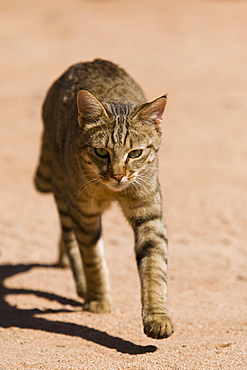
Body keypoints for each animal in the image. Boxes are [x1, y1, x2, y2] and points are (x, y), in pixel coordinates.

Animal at [34, 57, 174, 338]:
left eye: (135, 153)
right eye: (101, 152)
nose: (118, 175)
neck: (113, 192)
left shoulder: (149, 214)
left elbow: (154, 267)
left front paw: (157, 317)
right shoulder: (84, 212)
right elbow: (93, 260)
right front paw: (99, 300)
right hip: (63, 191)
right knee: (70, 238)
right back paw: (81, 283)